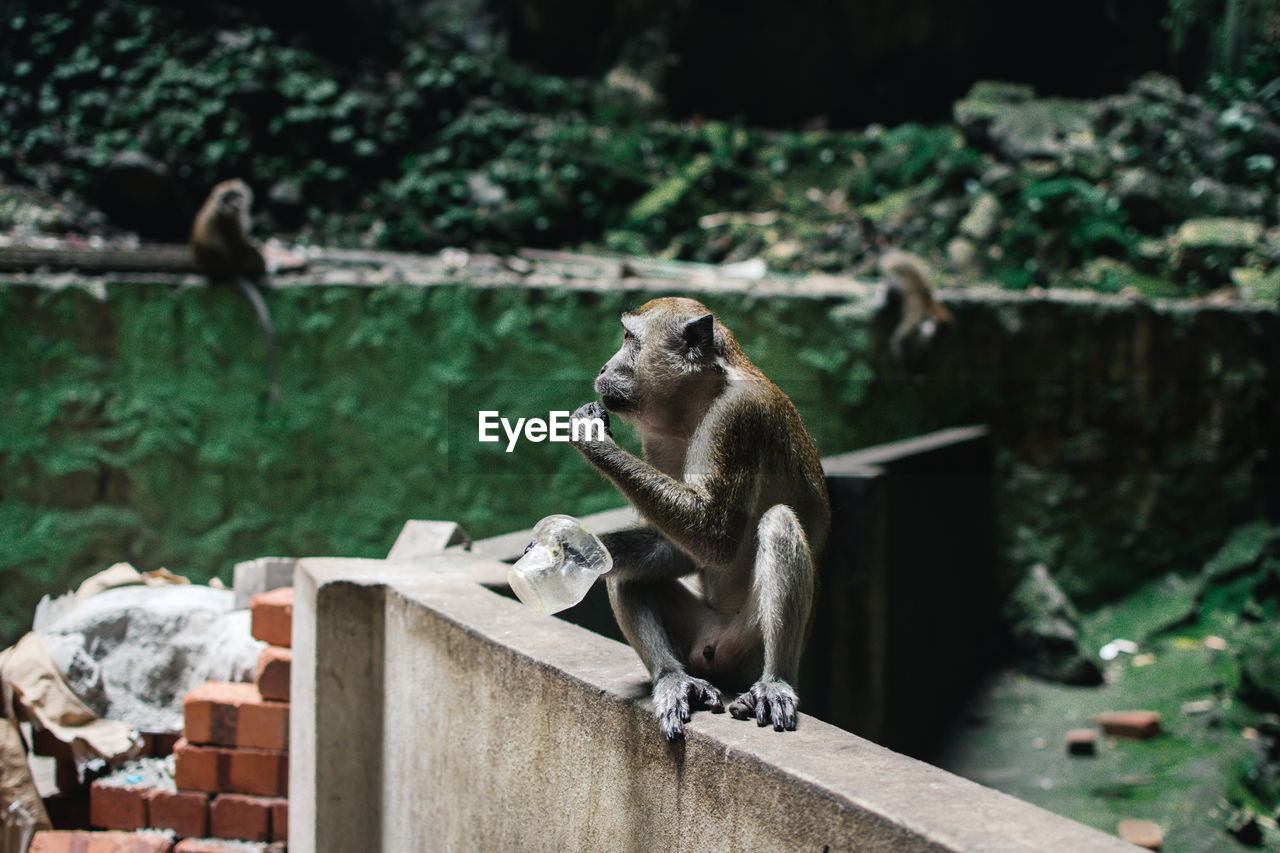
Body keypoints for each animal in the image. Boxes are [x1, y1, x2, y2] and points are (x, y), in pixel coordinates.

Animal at [189, 178, 282, 404]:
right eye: (229, 196)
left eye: (236, 194)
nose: (236, 202)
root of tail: (223, 273)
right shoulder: (233, 223)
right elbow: (242, 243)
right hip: (238, 261)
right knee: (250, 252)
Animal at [568, 294, 829, 737]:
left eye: (629, 339)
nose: (604, 368)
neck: (699, 400)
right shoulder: (658, 438)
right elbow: (684, 549)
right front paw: (572, 548)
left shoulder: (736, 417)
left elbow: (714, 535)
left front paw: (592, 437)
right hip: (698, 638)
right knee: (620, 570)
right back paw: (672, 677)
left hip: (746, 643)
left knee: (778, 522)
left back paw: (775, 681)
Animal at [880, 247, 952, 376]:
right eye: (937, 331)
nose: (931, 334)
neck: (928, 307)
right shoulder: (915, 315)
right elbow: (902, 336)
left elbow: (915, 342)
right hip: (894, 272)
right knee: (894, 284)